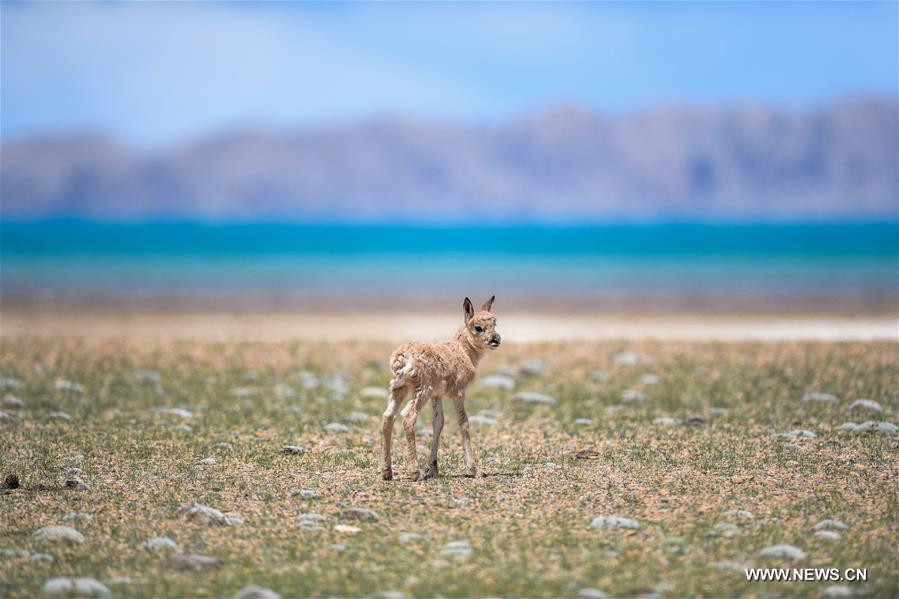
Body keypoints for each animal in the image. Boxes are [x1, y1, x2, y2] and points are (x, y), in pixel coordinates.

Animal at [382, 296, 502, 482]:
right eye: (478, 327)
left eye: (495, 323)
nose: (496, 339)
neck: (462, 351)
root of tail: (401, 357)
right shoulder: (458, 392)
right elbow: (463, 422)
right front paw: (476, 470)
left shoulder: (437, 395)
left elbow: (438, 422)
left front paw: (433, 468)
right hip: (420, 392)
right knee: (408, 416)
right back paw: (415, 472)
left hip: (399, 389)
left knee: (388, 416)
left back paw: (387, 472)